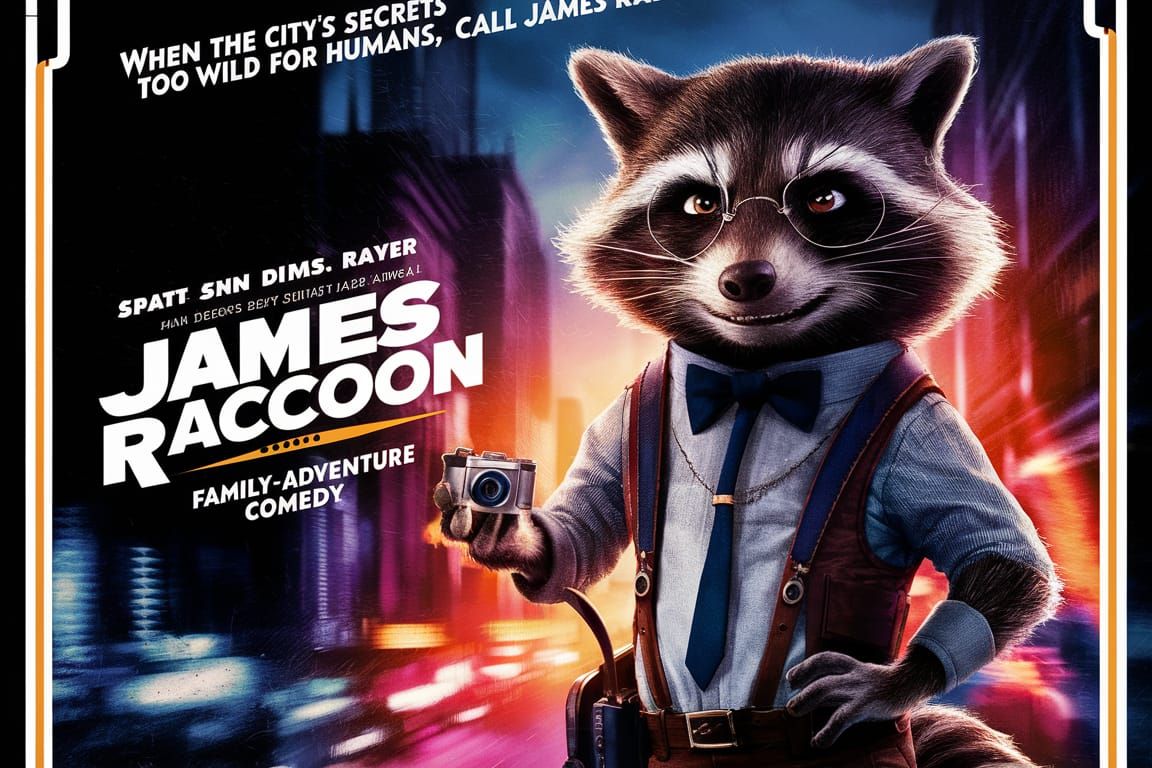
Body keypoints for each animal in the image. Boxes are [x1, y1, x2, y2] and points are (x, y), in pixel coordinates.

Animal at [438, 37, 1060, 768]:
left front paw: (888, 682)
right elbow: (589, 523)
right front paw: (507, 532)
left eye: (824, 198)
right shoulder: (626, 413)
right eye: (701, 204)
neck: (755, 376)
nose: (744, 280)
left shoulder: (923, 423)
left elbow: (1008, 555)